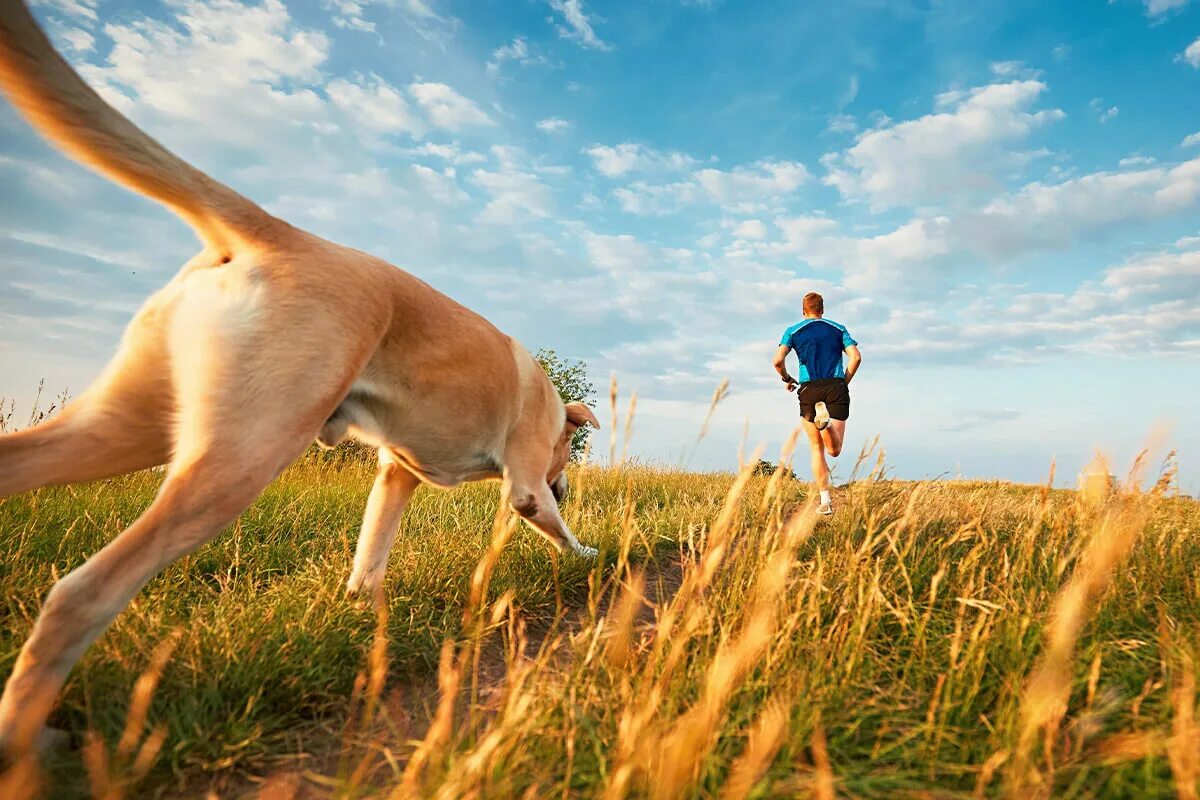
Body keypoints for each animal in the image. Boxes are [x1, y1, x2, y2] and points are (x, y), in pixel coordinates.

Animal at [0, 0, 600, 753]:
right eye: (564, 456)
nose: (568, 484)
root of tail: (277, 232)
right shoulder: (522, 485)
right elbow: (554, 528)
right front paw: (591, 554)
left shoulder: (395, 475)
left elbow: (370, 554)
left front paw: (365, 611)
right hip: (240, 456)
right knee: (82, 594)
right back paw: (28, 739)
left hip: (123, 427)